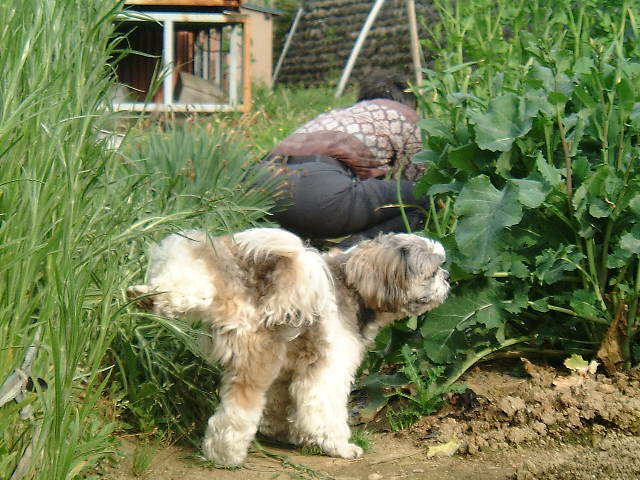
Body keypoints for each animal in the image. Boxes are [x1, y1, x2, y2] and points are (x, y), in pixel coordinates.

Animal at [127, 228, 450, 466]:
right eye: (433, 271)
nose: (447, 278)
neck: (353, 287)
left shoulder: (288, 373)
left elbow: (282, 406)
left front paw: (285, 433)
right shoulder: (327, 372)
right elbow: (324, 413)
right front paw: (339, 446)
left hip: (205, 276)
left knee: (188, 287)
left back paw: (145, 296)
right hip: (257, 362)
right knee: (237, 411)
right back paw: (226, 455)